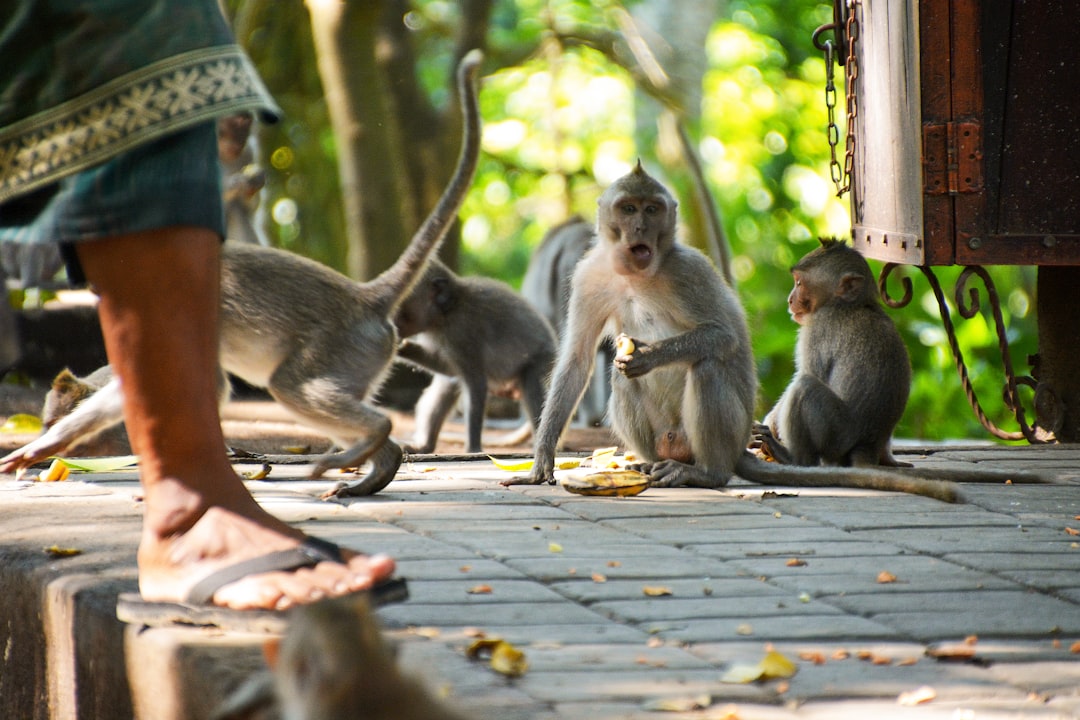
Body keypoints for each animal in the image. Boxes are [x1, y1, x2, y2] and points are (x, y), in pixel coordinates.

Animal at [0, 49, 483, 500]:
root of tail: (365, 296)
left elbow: (200, 386)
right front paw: (45, 445)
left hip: (345, 346)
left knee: (291, 386)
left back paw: (375, 435)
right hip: (363, 358)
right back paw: (379, 463)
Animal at [393, 255, 557, 453]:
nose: (391, 321)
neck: (447, 313)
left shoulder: (461, 334)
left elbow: (475, 382)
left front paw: (473, 448)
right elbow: (448, 368)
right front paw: (402, 347)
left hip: (543, 360)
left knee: (530, 382)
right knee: (448, 385)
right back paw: (426, 446)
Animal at [505, 161, 963, 500]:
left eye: (652, 209)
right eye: (628, 209)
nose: (640, 230)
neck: (637, 275)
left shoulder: (688, 271)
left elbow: (722, 337)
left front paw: (651, 355)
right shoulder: (590, 276)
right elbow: (577, 359)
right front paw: (541, 460)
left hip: (721, 432)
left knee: (707, 367)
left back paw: (708, 474)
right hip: (666, 437)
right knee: (622, 380)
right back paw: (649, 462)